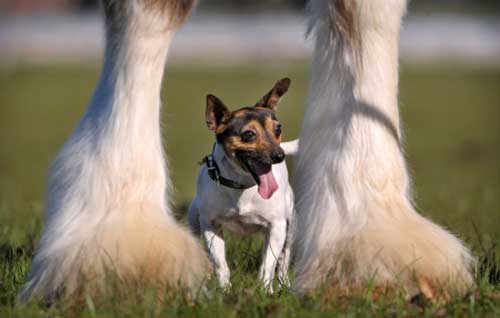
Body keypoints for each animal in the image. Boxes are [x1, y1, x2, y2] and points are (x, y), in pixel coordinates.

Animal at [188, 77, 296, 290]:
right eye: (248, 134)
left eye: (278, 129)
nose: (279, 155)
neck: (243, 186)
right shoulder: (210, 226)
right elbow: (221, 265)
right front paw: (224, 290)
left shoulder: (277, 226)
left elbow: (267, 266)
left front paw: (265, 290)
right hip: (193, 218)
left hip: (289, 226)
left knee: (283, 260)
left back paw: (284, 285)